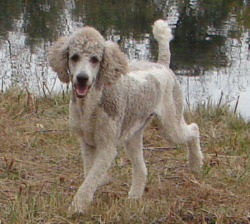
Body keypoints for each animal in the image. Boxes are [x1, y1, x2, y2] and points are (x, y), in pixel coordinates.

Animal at [47, 20, 202, 213]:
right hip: (133, 134)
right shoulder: (86, 142)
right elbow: (90, 172)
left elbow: (91, 179)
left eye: (95, 59)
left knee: (194, 129)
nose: (82, 78)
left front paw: (78, 206)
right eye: (74, 57)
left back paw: (196, 163)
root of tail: (163, 65)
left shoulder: (107, 146)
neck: (91, 104)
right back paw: (134, 197)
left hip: (170, 123)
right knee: (142, 169)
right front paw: (98, 186)